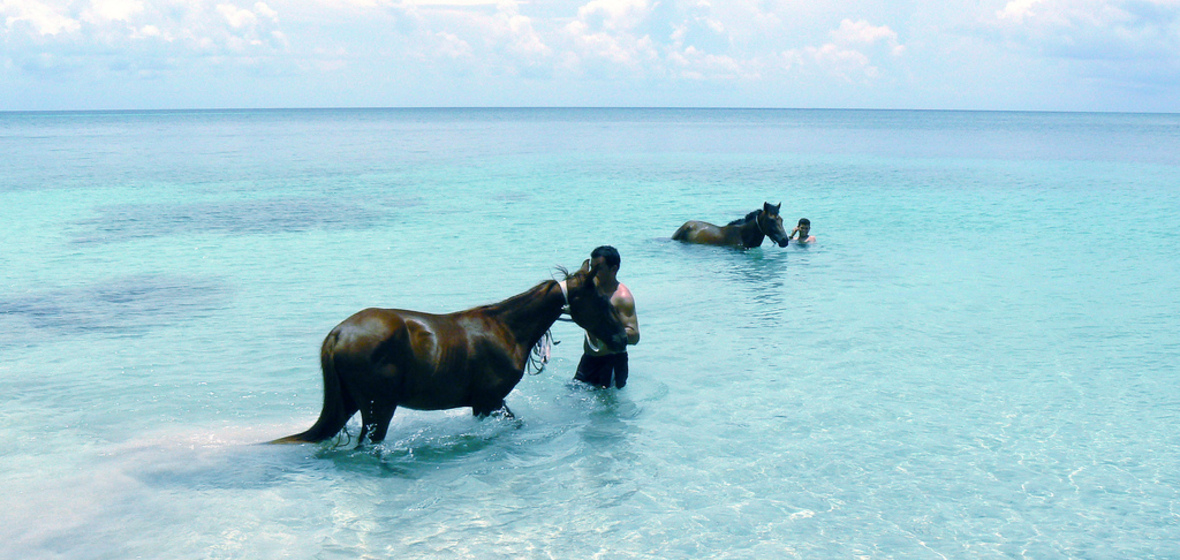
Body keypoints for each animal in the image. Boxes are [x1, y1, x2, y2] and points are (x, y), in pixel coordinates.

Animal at [273, 264, 627, 448]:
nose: (623, 337)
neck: (505, 328)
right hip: (378, 409)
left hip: (350, 404)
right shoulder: (489, 400)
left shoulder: (486, 404)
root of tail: (339, 333)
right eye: (599, 298)